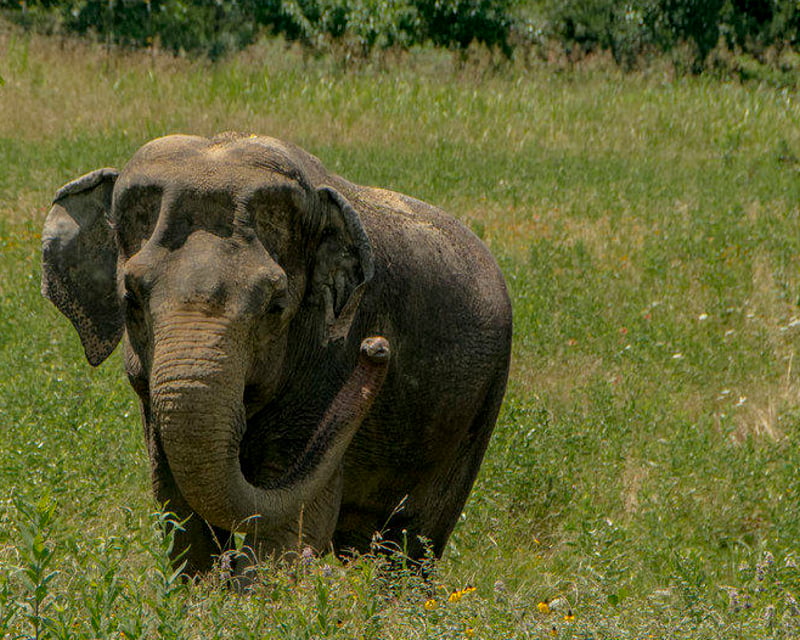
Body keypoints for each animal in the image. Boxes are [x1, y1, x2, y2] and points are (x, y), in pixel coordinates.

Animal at [41, 133, 512, 576]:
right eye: (131, 300)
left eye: (275, 306)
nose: (377, 348)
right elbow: (178, 507)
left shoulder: (329, 363)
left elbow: (290, 522)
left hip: (477, 414)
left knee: (413, 545)